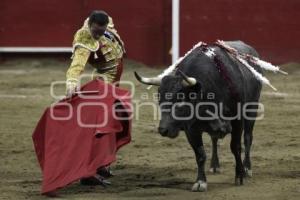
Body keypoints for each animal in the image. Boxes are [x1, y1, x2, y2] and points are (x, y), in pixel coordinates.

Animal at [134, 40, 262, 191]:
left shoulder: (237, 121)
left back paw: (247, 168)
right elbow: (200, 154)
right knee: (214, 139)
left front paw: (239, 175)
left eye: (181, 100)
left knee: (247, 138)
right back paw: (215, 165)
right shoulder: (191, 129)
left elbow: (235, 147)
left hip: (251, 109)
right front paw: (200, 181)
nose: (163, 130)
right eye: (160, 100)